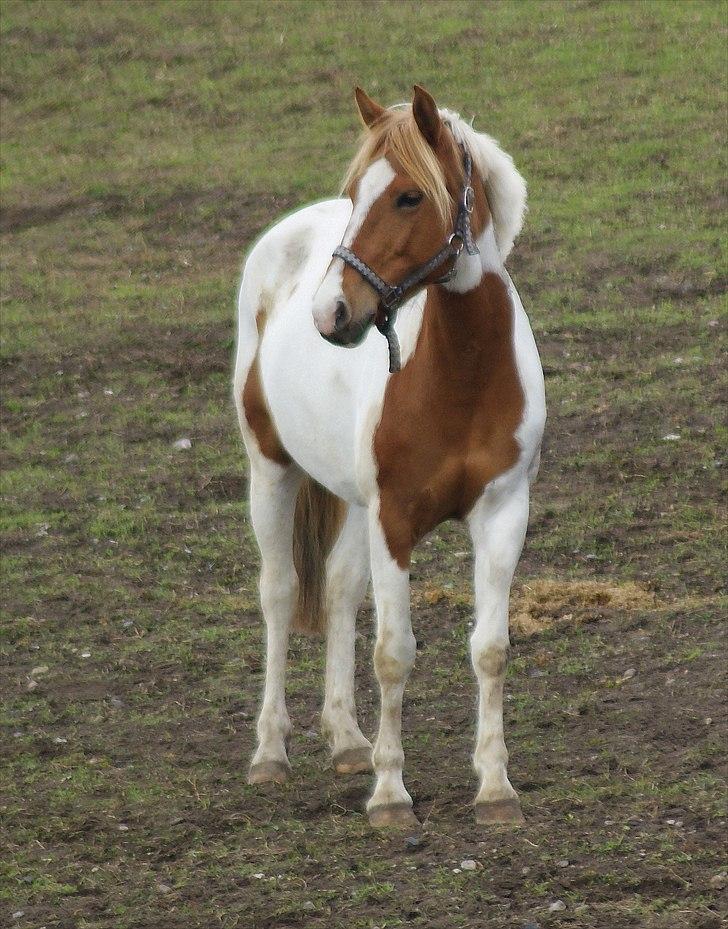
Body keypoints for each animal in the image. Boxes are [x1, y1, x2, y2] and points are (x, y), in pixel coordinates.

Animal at [235, 85, 544, 828]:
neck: (461, 380)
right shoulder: (395, 520)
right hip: (271, 470)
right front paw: (390, 793)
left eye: (407, 197)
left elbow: (490, 648)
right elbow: (394, 654)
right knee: (279, 592)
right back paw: (270, 753)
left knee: (340, 590)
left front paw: (496, 788)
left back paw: (349, 740)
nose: (332, 313)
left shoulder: (502, 514)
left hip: (349, 499)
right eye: (356, 194)